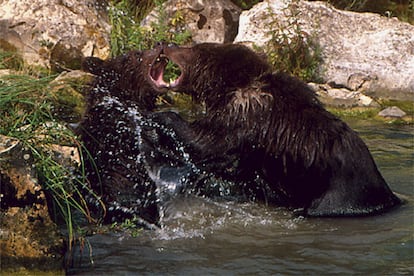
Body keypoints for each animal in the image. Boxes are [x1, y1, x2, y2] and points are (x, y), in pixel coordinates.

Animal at [150, 42, 404, 217]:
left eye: (193, 47)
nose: (165, 43)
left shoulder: (247, 114)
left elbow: (208, 142)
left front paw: (161, 117)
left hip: (338, 192)